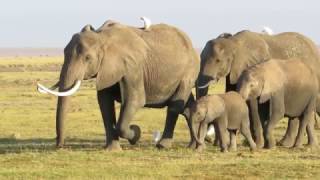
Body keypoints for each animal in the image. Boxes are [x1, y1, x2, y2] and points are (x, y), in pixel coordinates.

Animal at [37, 17, 200, 150]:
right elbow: (105, 103)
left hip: (189, 71)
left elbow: (134, 101)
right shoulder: (107, 69)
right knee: (186, 107)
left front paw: (136, 133)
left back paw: (163, 145)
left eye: (88, 58)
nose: (60, 146)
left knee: (175, 106)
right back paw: (193, 145)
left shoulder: (133, 67)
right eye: (64, 53)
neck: (102, 36)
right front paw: (112, 149)